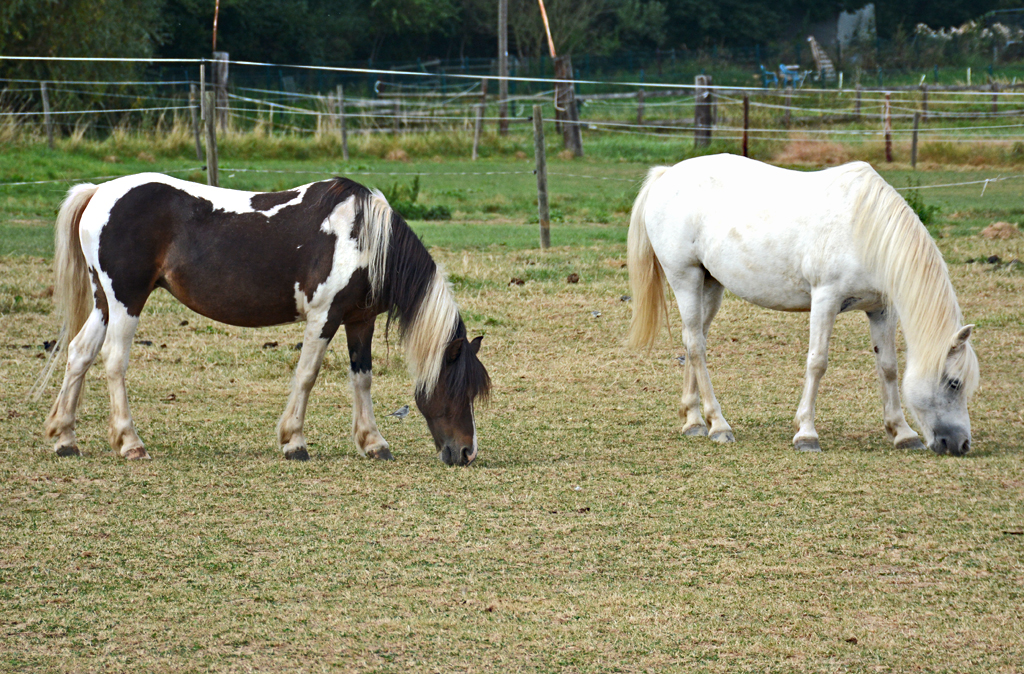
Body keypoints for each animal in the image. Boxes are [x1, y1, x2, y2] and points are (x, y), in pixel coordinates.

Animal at [36, 173, 491, 465]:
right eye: (456, 389)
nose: (466, 453)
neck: (364, 238)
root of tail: (98, 192)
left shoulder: (359, 320)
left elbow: (361, 379)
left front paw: (373, 443)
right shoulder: (324, 317)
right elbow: (306, 375)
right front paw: (294, 442)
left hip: (104, 302)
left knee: (78, 354)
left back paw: (65, 438)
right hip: (126, 300)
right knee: (114, 362)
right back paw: (130, 443)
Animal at [626, 154, 978, 454]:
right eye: (954, 383)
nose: (960, 444)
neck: (866, 231)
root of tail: (666, 175)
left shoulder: (880, 309)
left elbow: (888, 367)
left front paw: (902, 433)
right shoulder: (826, 300)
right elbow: (817, 362)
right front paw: (807, 434)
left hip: (710, 284)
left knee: (694, 339)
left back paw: (695, 421)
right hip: (684, 278)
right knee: (696, 346)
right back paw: (719, 426)